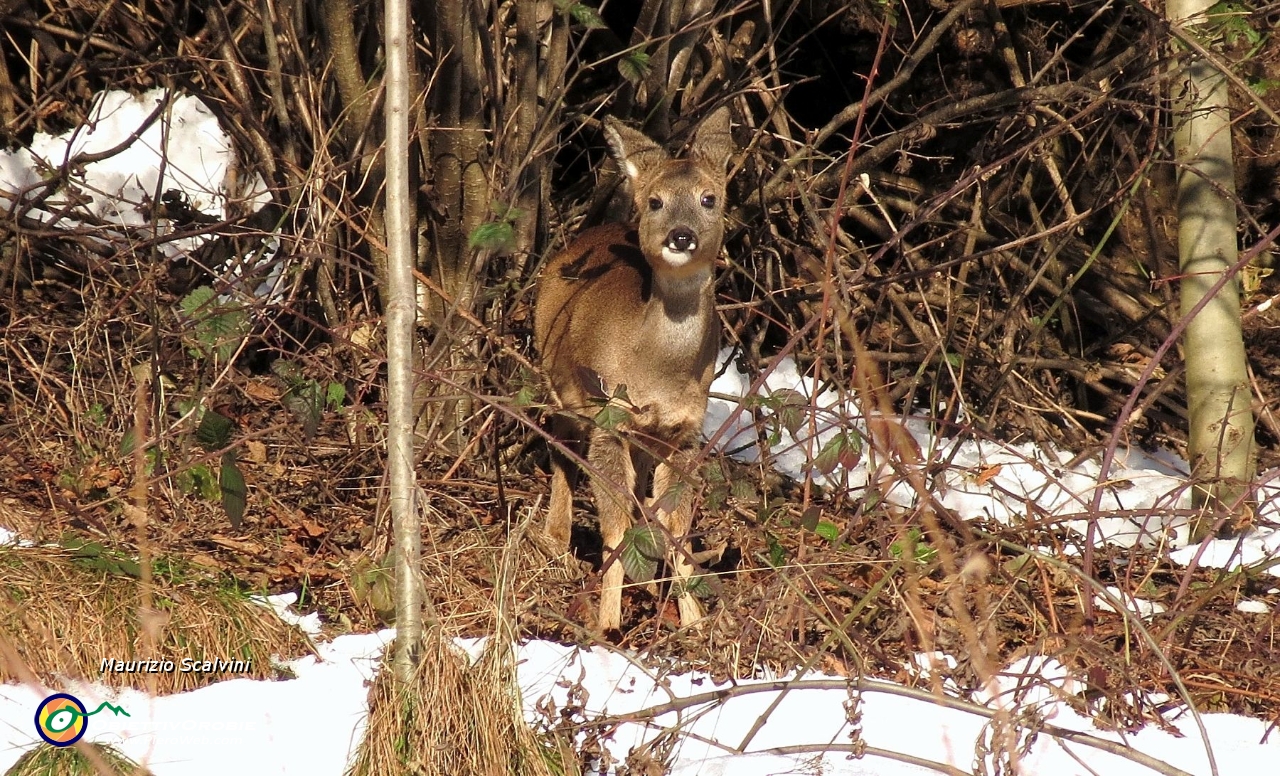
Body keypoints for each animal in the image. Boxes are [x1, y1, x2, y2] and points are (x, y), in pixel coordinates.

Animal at [529, 106, 732, 635]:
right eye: (656, 201)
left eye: (709, 198)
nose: (682, 236)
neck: (657, 370)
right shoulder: (610, 419)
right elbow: (615, 524)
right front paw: (606, 624)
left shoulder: (683, 433)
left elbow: (675, 524)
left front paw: (693, 622)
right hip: (559, 385)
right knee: (559, 445)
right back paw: (554, 539)